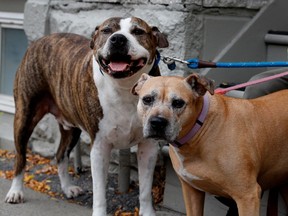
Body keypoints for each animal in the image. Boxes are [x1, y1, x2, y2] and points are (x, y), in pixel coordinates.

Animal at [4, 17, 169, 216]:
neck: (125, 88)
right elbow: (99, 191)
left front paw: (147, 212)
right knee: (21, 156)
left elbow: (145, 189)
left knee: (61, 155)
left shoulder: (148, 147)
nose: (118, 39)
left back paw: (67, 188)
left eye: (138, 31)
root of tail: (41, 40)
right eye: (107, 30)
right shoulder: (99, 147)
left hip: (71, 128)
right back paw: (15, 191)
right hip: (25, 116)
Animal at [133, 73, 288, 215]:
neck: (200, 131)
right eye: (147, 99)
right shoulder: (191, 191)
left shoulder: (247, 196)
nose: (157, 122)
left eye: (178, 103)